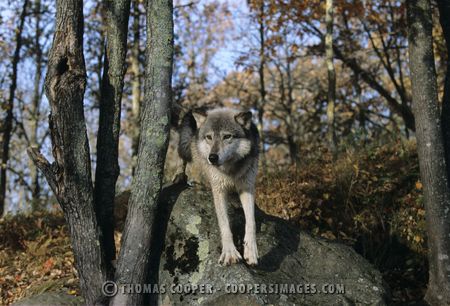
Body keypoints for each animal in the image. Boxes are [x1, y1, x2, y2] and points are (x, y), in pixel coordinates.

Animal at [178, 107, 258, 266]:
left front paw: (251, 252)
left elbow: (251, 221)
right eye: (209, 137)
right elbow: (224, 223)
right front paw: (229, 253)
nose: (212, 158)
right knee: (186, 165)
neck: (230, 170)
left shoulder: (247, 187)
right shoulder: (219, 190)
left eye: (227, 136)